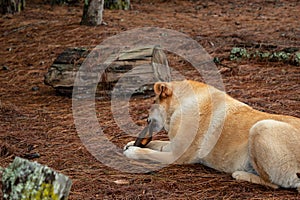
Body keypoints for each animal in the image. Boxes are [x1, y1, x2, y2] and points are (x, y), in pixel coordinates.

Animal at [123, 79, 300, 192]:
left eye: (153, 102)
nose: (146, 119)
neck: (180, 106)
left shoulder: (176, 156)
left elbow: (149, 152)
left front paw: (134, 151)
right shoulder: (173, 145)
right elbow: (158, 143)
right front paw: (131, 143)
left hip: (261, 127)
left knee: (274, 185)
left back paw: (240, 174)